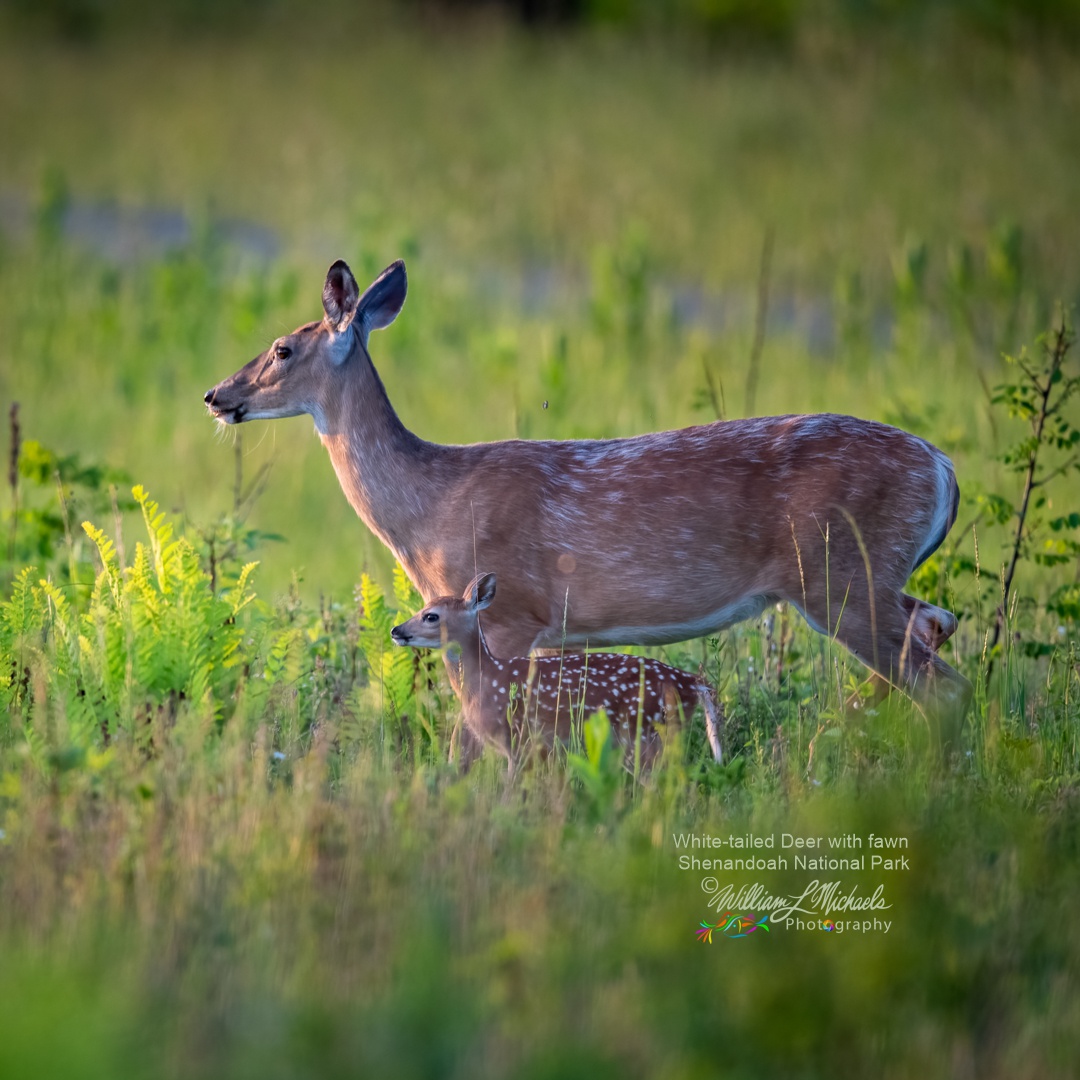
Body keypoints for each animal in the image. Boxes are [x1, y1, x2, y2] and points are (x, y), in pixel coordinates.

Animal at [203, 257, 972, 721]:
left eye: (281, 348)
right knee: (939, 630)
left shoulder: (511, 610)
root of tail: (942, 467)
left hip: (842, 576)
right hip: (875, 578)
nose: (216, 395)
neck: (427, 507)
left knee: (941, 684)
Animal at [388, 574, 725, 768]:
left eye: (431, 616)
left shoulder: (518, 737)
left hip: (644, 731)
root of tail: (692, 682)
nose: (396, 630)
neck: (488, 679)